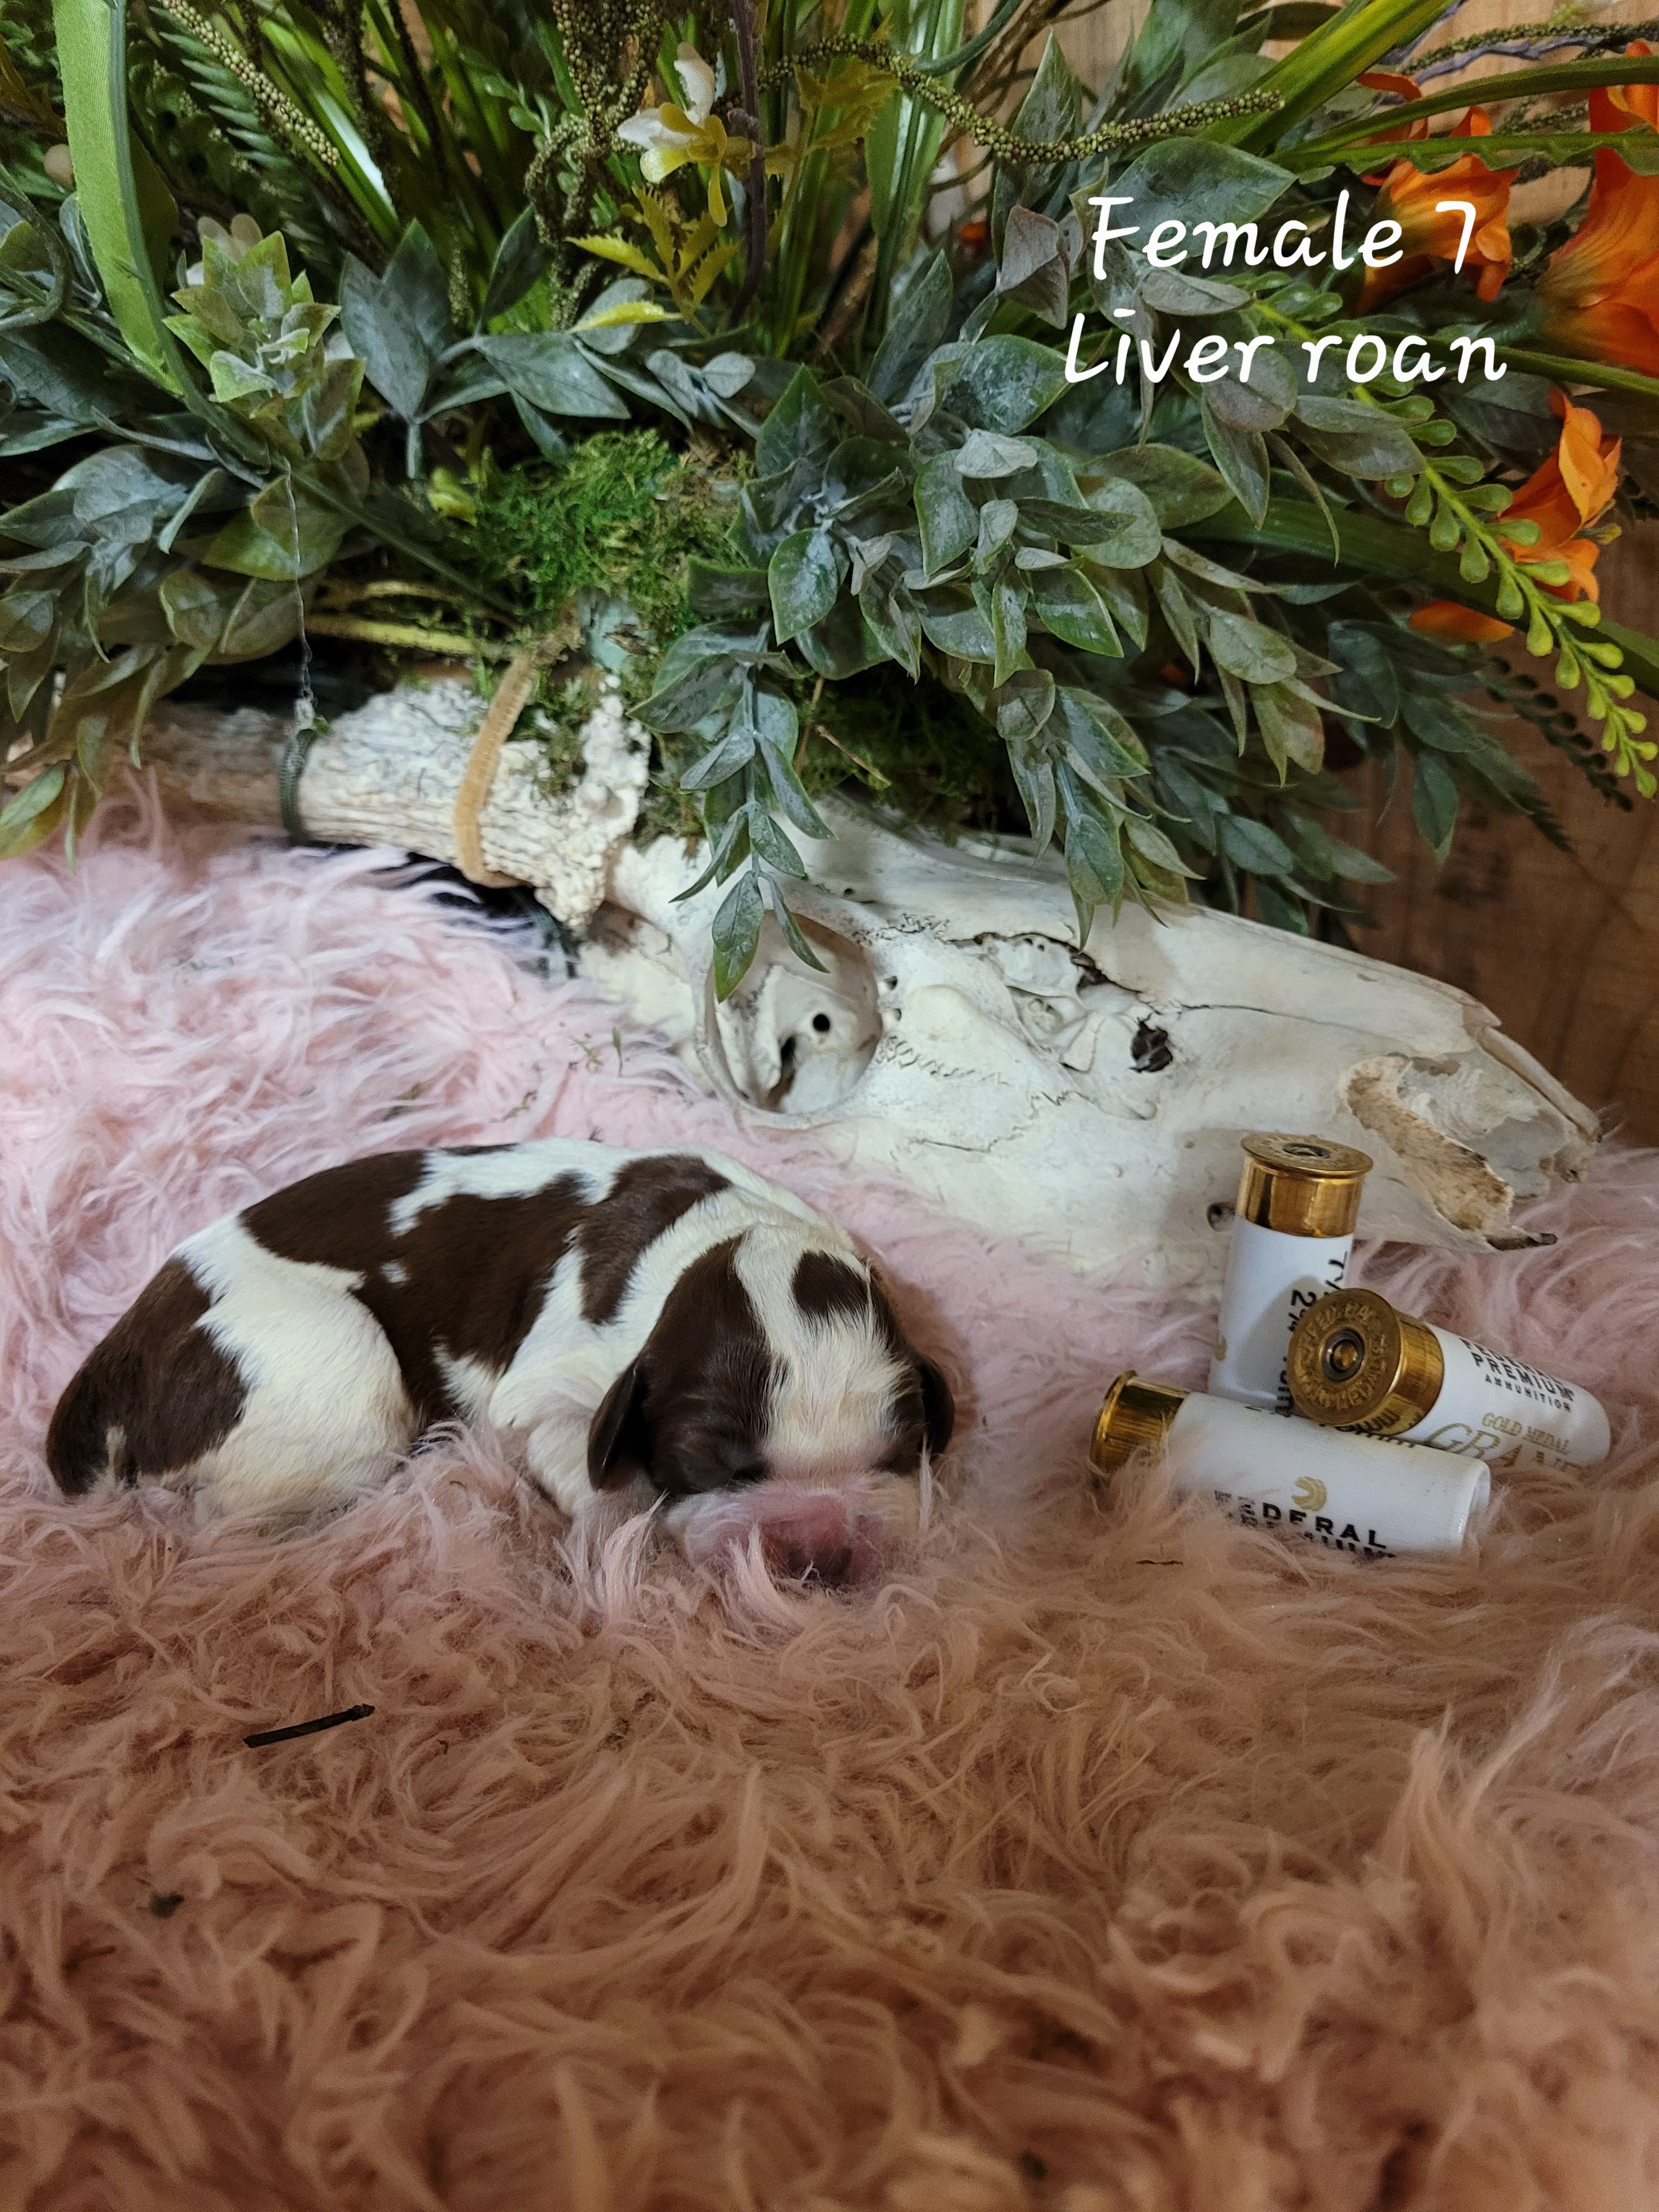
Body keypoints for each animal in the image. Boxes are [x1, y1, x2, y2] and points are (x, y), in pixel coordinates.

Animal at [46, 1141, 954, 1586]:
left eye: (901, 1453)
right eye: (708, 1465)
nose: (818, 1558)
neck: (718, 1236)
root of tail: (121, 1351)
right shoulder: (544, 1386)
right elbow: (591, 1473)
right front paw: (623, 1545)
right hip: (339, 1364)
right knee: (222, 1520)